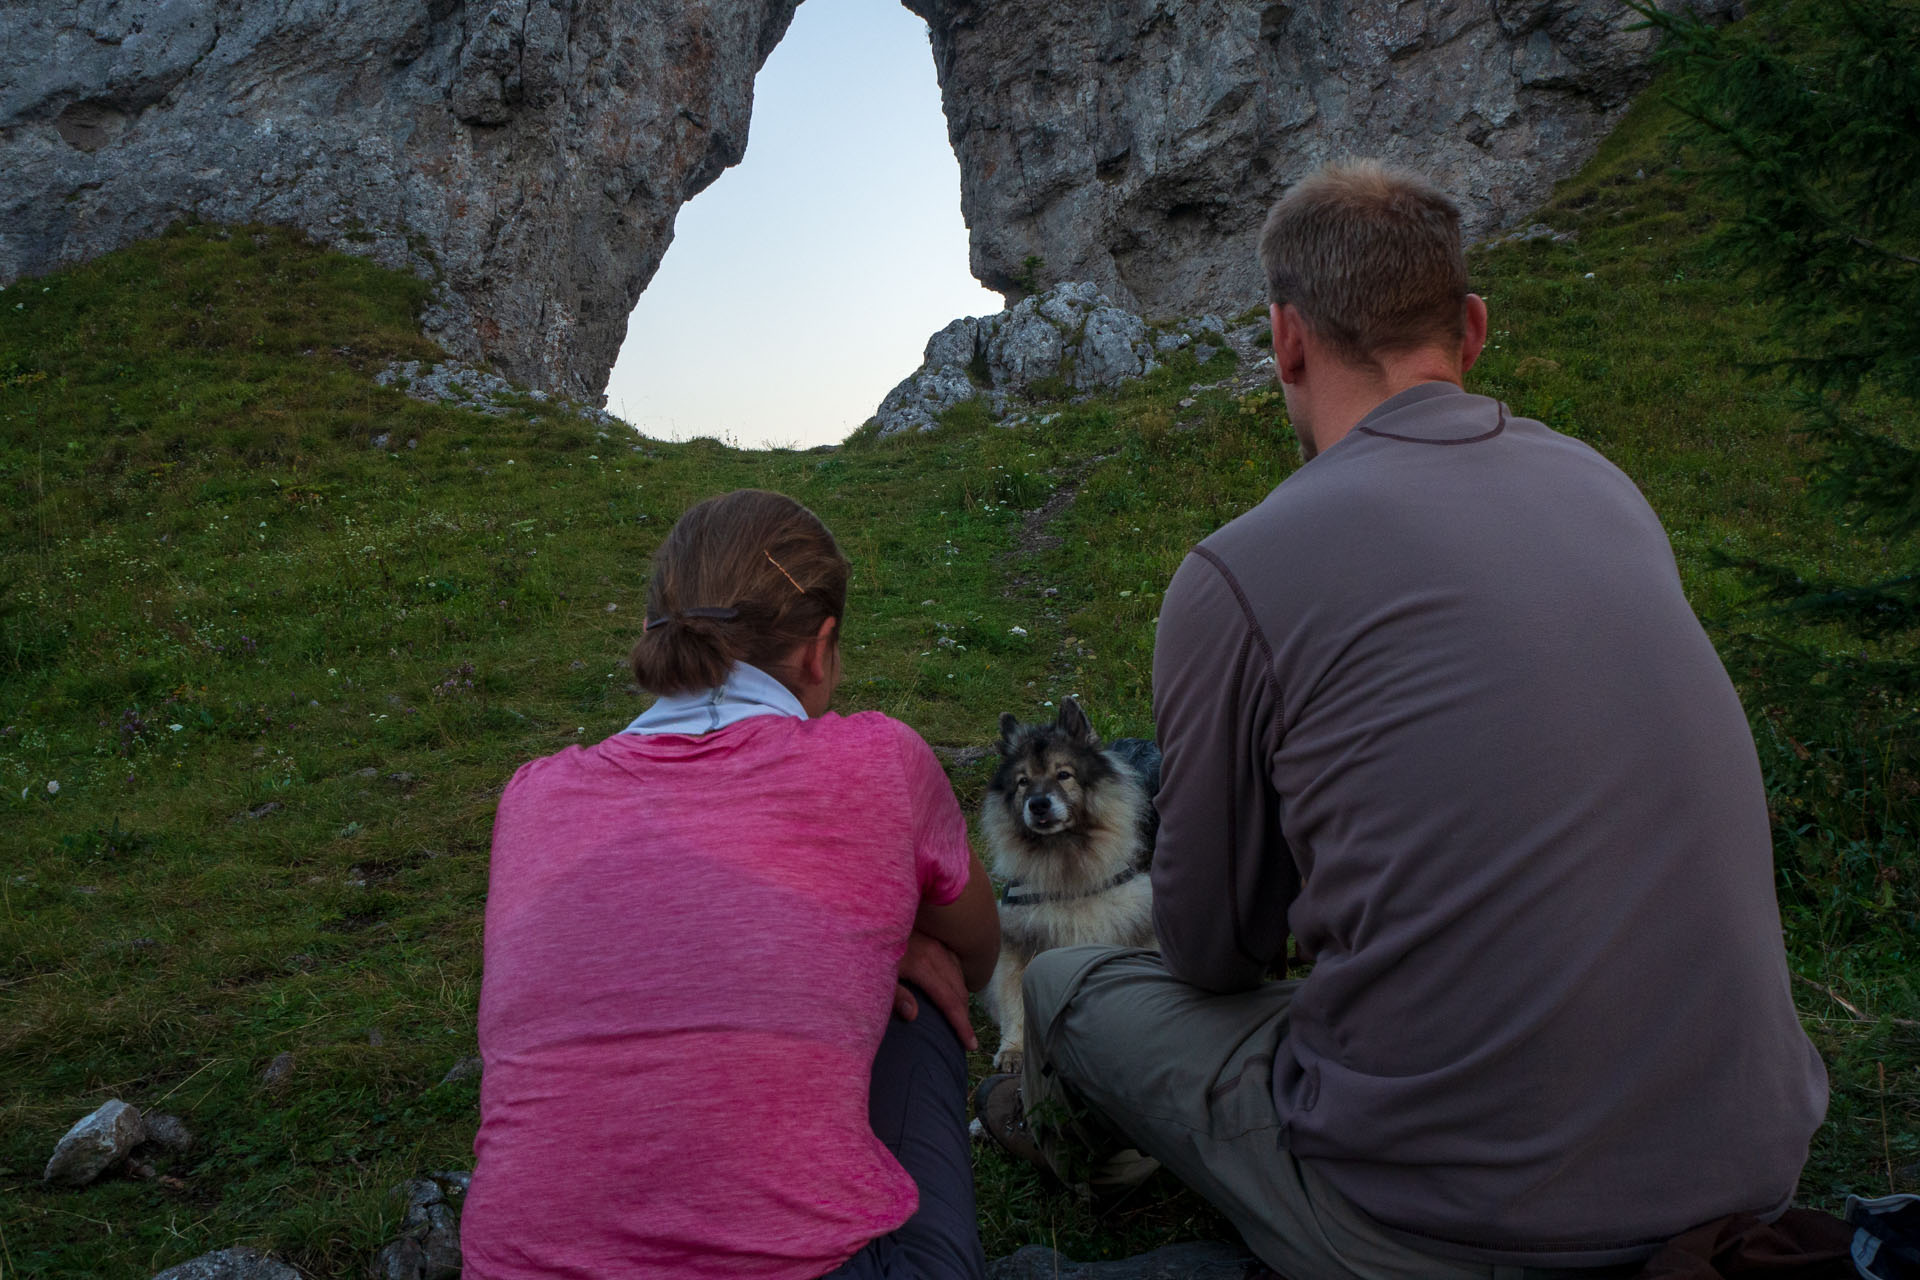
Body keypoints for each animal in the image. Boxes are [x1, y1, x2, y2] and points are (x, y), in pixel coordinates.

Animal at [983, 694, 1159, 1074]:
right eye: (1023, 782)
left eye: (1063, 775)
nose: (1038, 804)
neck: (1065, 859)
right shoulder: (1021, 937)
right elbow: (1015, 998)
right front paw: (1014, 1050)